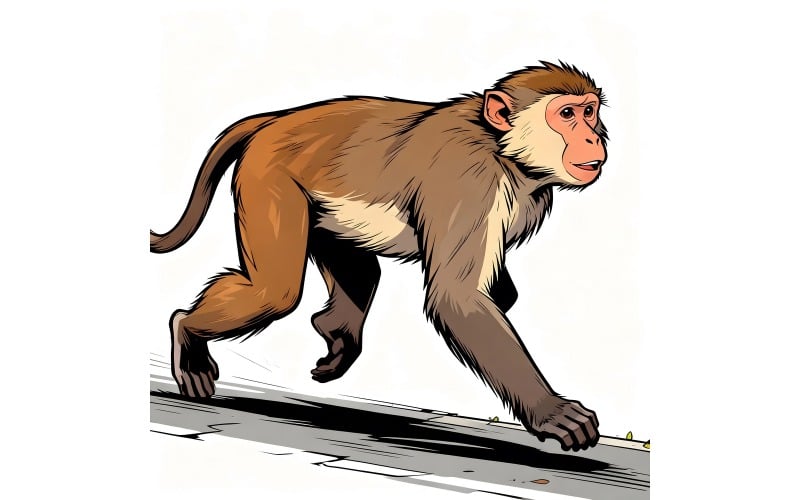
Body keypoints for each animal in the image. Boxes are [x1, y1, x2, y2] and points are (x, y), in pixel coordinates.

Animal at [151, 61, 608, 452]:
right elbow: (456, 298)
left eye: (589, 112)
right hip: (268, 178)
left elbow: (490, 291)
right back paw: (186, 331)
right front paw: (550, 412)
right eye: (567, 114)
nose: (594, 137)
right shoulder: (468, 181)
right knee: (274, 292)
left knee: (357, 271)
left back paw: (335, 329)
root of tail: (275, 119)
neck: (502, 149)